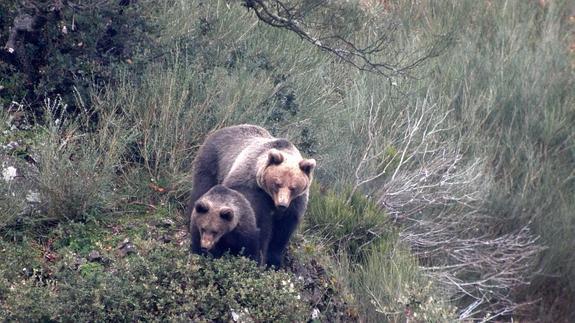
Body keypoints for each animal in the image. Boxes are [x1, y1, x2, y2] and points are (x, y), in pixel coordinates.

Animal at [188, 125, 316, 270]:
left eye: (293, 187)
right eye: (277, 183)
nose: (282, 204)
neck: (270, 196)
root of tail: (225, 129)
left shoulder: (295, 203)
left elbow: (282, 231)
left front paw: (273, 261)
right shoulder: (250, 186)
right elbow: (259, 226)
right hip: (212, 161)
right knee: (202, 187)